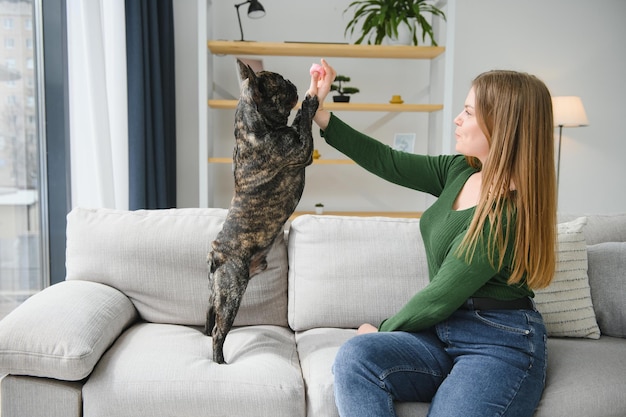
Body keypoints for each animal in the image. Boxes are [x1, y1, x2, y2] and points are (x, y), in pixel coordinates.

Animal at [206, 60, 316, 362]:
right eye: (279, 81)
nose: (292, 82)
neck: (253, 127)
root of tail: (215, 255)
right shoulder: (301, 150)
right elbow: (303, 124)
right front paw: (309, 104)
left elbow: (297, 125)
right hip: (232, 293)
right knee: (220, 331)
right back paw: (219, 361)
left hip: (218, 292)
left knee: (210, 315)